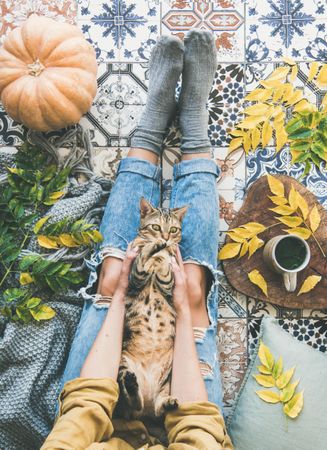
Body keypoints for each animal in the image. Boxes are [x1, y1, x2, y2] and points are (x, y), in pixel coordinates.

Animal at [116, 197, 188, 418]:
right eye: (156, 227)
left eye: (173, 229)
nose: (165, 237)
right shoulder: (135, 278)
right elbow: (142, 257)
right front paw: (151, 246)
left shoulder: (169, 285)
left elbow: (166, 265)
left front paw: (165, 252)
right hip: (123, 364)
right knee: (133, 403)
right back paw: (132, 387)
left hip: (169, 375)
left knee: (157, 406)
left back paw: (167, 403)